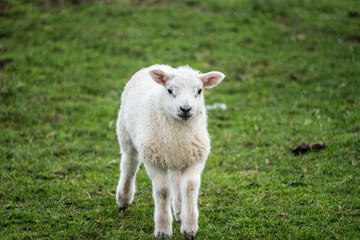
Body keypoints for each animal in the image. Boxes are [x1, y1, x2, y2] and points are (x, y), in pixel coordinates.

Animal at [115, 64, 224, 239]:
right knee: (129, 164)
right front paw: (163, 230)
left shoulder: (196, 158)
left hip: (175, 157)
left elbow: (189, 186)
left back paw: (179, 212)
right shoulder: (153, 159)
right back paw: (123, 199)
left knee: (176, 179)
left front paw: (189, 227)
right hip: (126, 134)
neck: (178, 133)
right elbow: (163, 191)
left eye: (199, 90)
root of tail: (156, 66)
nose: (185, 108)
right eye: (170, 90)